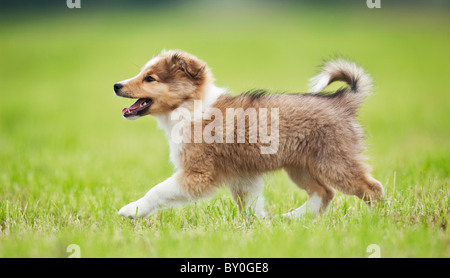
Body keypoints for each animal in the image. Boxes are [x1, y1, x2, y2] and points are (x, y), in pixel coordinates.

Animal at [113, 49, 384, 219]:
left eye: (150, 78)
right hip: (300, 167)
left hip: (334, 162)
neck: (190, 107)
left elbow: (158, 189)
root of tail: (342, 100)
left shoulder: (199, 173)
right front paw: (259, 228)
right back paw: (290, 218)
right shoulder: (243, 177)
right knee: (324, 193)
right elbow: (251, 206)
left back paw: (379, 221)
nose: (116, 85)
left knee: (372, 189)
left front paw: (131, 210)